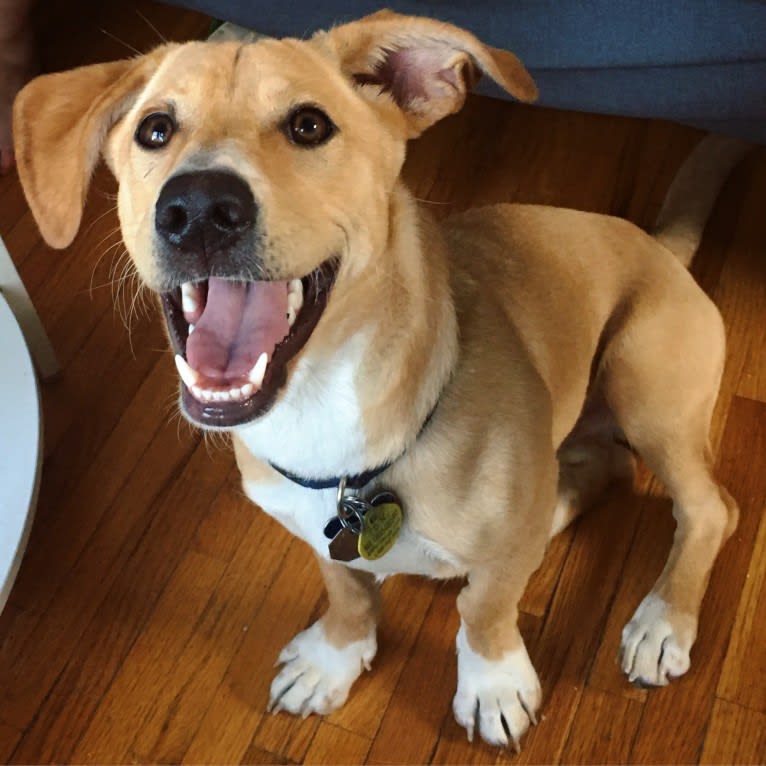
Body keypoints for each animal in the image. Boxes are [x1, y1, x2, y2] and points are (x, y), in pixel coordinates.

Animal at [13, 10, 752, 752]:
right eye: (155, 130)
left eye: (309, 125)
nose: (195, 209)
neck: (323, 419)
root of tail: (660, 244)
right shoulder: (314, 530)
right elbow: (347, 590)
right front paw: (333, 657)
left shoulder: (486, 573)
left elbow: (485, 609)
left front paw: (493, 683)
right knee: (600, 469)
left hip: (644, 383)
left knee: (708, 509)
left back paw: (660, 621)